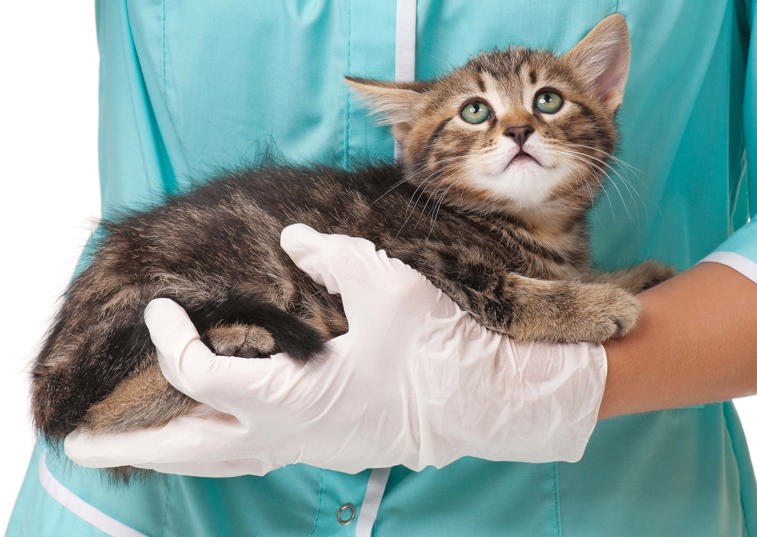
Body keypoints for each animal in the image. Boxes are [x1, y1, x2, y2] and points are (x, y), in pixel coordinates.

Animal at [31, 14, 668, 446]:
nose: (517, 131)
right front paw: (596, 305)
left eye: (548, 100)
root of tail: (53, 360)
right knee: (96, 415)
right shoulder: (411, 256)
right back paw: (238, 342)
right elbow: (506, 290)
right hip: (178, 291)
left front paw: (634, 275)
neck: (532, 224)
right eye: (475, 111)